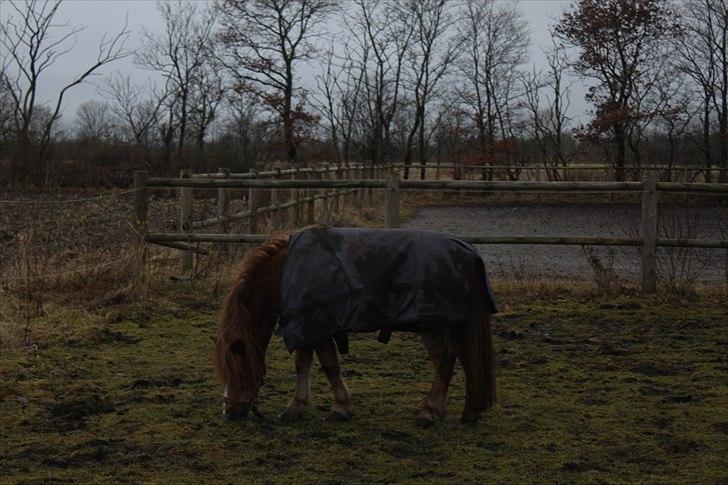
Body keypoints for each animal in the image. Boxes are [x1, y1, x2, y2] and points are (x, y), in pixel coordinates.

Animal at [210, 229, 494, 422]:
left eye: (238, 371)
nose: (228, 412)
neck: (285, 273)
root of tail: (470, 253)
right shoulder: (307, 326)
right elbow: (303, 364)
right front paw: (297, 405)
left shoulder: (318, 325)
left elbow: (329, 365)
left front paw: (340, 408)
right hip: (449, 326)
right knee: (467, 360)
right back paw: (467, 410)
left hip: (432, 325)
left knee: (446, 361)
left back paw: (430, 411)